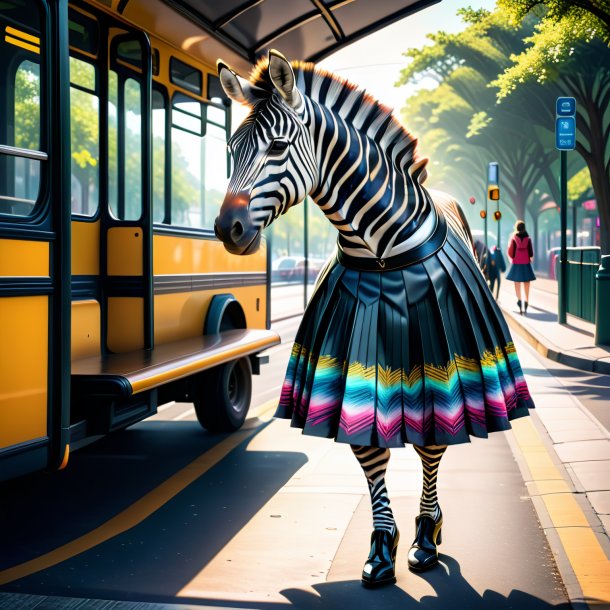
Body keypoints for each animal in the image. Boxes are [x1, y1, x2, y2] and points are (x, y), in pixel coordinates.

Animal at [213, 51, 532, 584]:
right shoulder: (345, 360)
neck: (378, 251)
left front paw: (425, 539)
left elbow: (430, 446)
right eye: (230, 151)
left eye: (277, 146)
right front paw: (383, 550)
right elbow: (370, 453)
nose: (226, 229)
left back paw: (432, 531)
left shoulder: (437, 361)